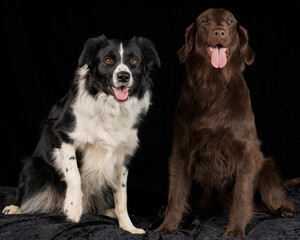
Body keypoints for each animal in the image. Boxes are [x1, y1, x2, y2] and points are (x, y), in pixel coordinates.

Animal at [2, 34, 161, 233]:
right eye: (108, 60)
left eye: (134, 61)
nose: (123, 76)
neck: (110, 108)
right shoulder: (62, 135)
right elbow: (74, 175)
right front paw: (72, 209)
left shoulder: (122, 155)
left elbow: (122, 196)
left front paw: (128, 227)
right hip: (33, 166)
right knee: (23, 193)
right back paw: (15, 208)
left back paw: (108, 211)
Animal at [157, 7, 300, 238]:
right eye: (205, 21)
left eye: (230, 22)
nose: (219, 33)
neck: (213, 86)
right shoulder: (181, 149)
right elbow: (176, 194)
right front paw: (167, 226)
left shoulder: (245, 152)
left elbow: (241, 197)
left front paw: (235, 230)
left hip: (266, 167)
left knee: (271, 194)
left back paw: (283, 208)